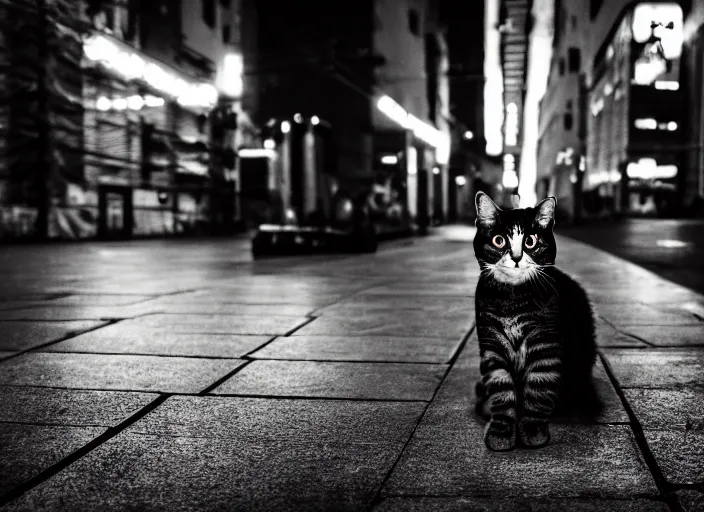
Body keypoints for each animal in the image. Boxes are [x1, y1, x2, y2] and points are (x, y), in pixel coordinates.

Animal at [472, 193, 600, 452]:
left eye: (530, 241)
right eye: (499, 240)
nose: (516, 258)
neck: (512, 300)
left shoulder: (545, 348)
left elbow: (538, 391)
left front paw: (532, 431)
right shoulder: (492, 347)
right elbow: (502, 391)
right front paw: (501, 433)